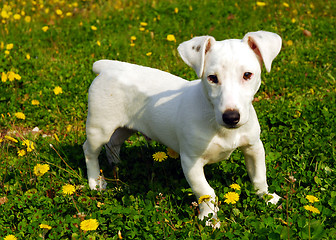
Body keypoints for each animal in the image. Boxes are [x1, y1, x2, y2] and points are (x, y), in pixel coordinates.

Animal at [83, 31, 280, 224]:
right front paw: (209, 219)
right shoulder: (190, 161)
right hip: (99, 127)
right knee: (90, 150)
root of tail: (107, 68)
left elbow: (259, 175)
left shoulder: (254, 147)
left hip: (127, 126)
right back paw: (96, 182)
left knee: (113, 143)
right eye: (212, 78)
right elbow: (205, 191)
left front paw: (267, 197)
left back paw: (117, 165)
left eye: (247, 75)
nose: (231, 117)